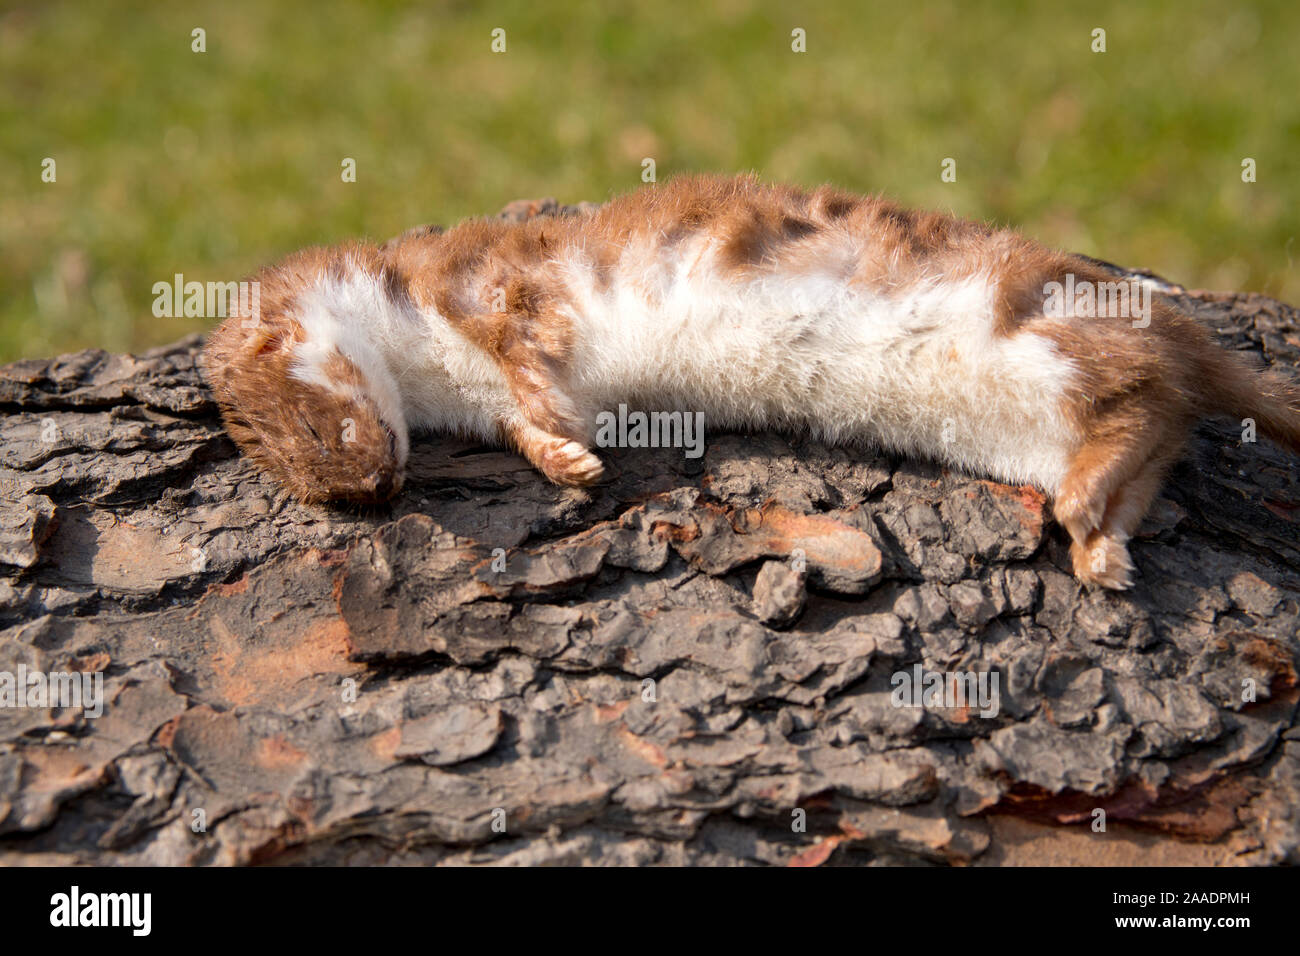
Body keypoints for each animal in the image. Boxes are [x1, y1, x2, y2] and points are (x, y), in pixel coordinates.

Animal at [202, 174, 1300, 587]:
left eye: (314, 426)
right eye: (304, 478)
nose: (374, 487)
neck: (436, 365)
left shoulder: (498, 289)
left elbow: (531, 357)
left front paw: (571, 445)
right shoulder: (482, 397)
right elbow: (523, 425)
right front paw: (562, 458)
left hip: (1057, 335)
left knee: (1154, 395)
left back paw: (1089, 524)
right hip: (1037, 420)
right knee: (1157, 428)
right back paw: (1098, 544)